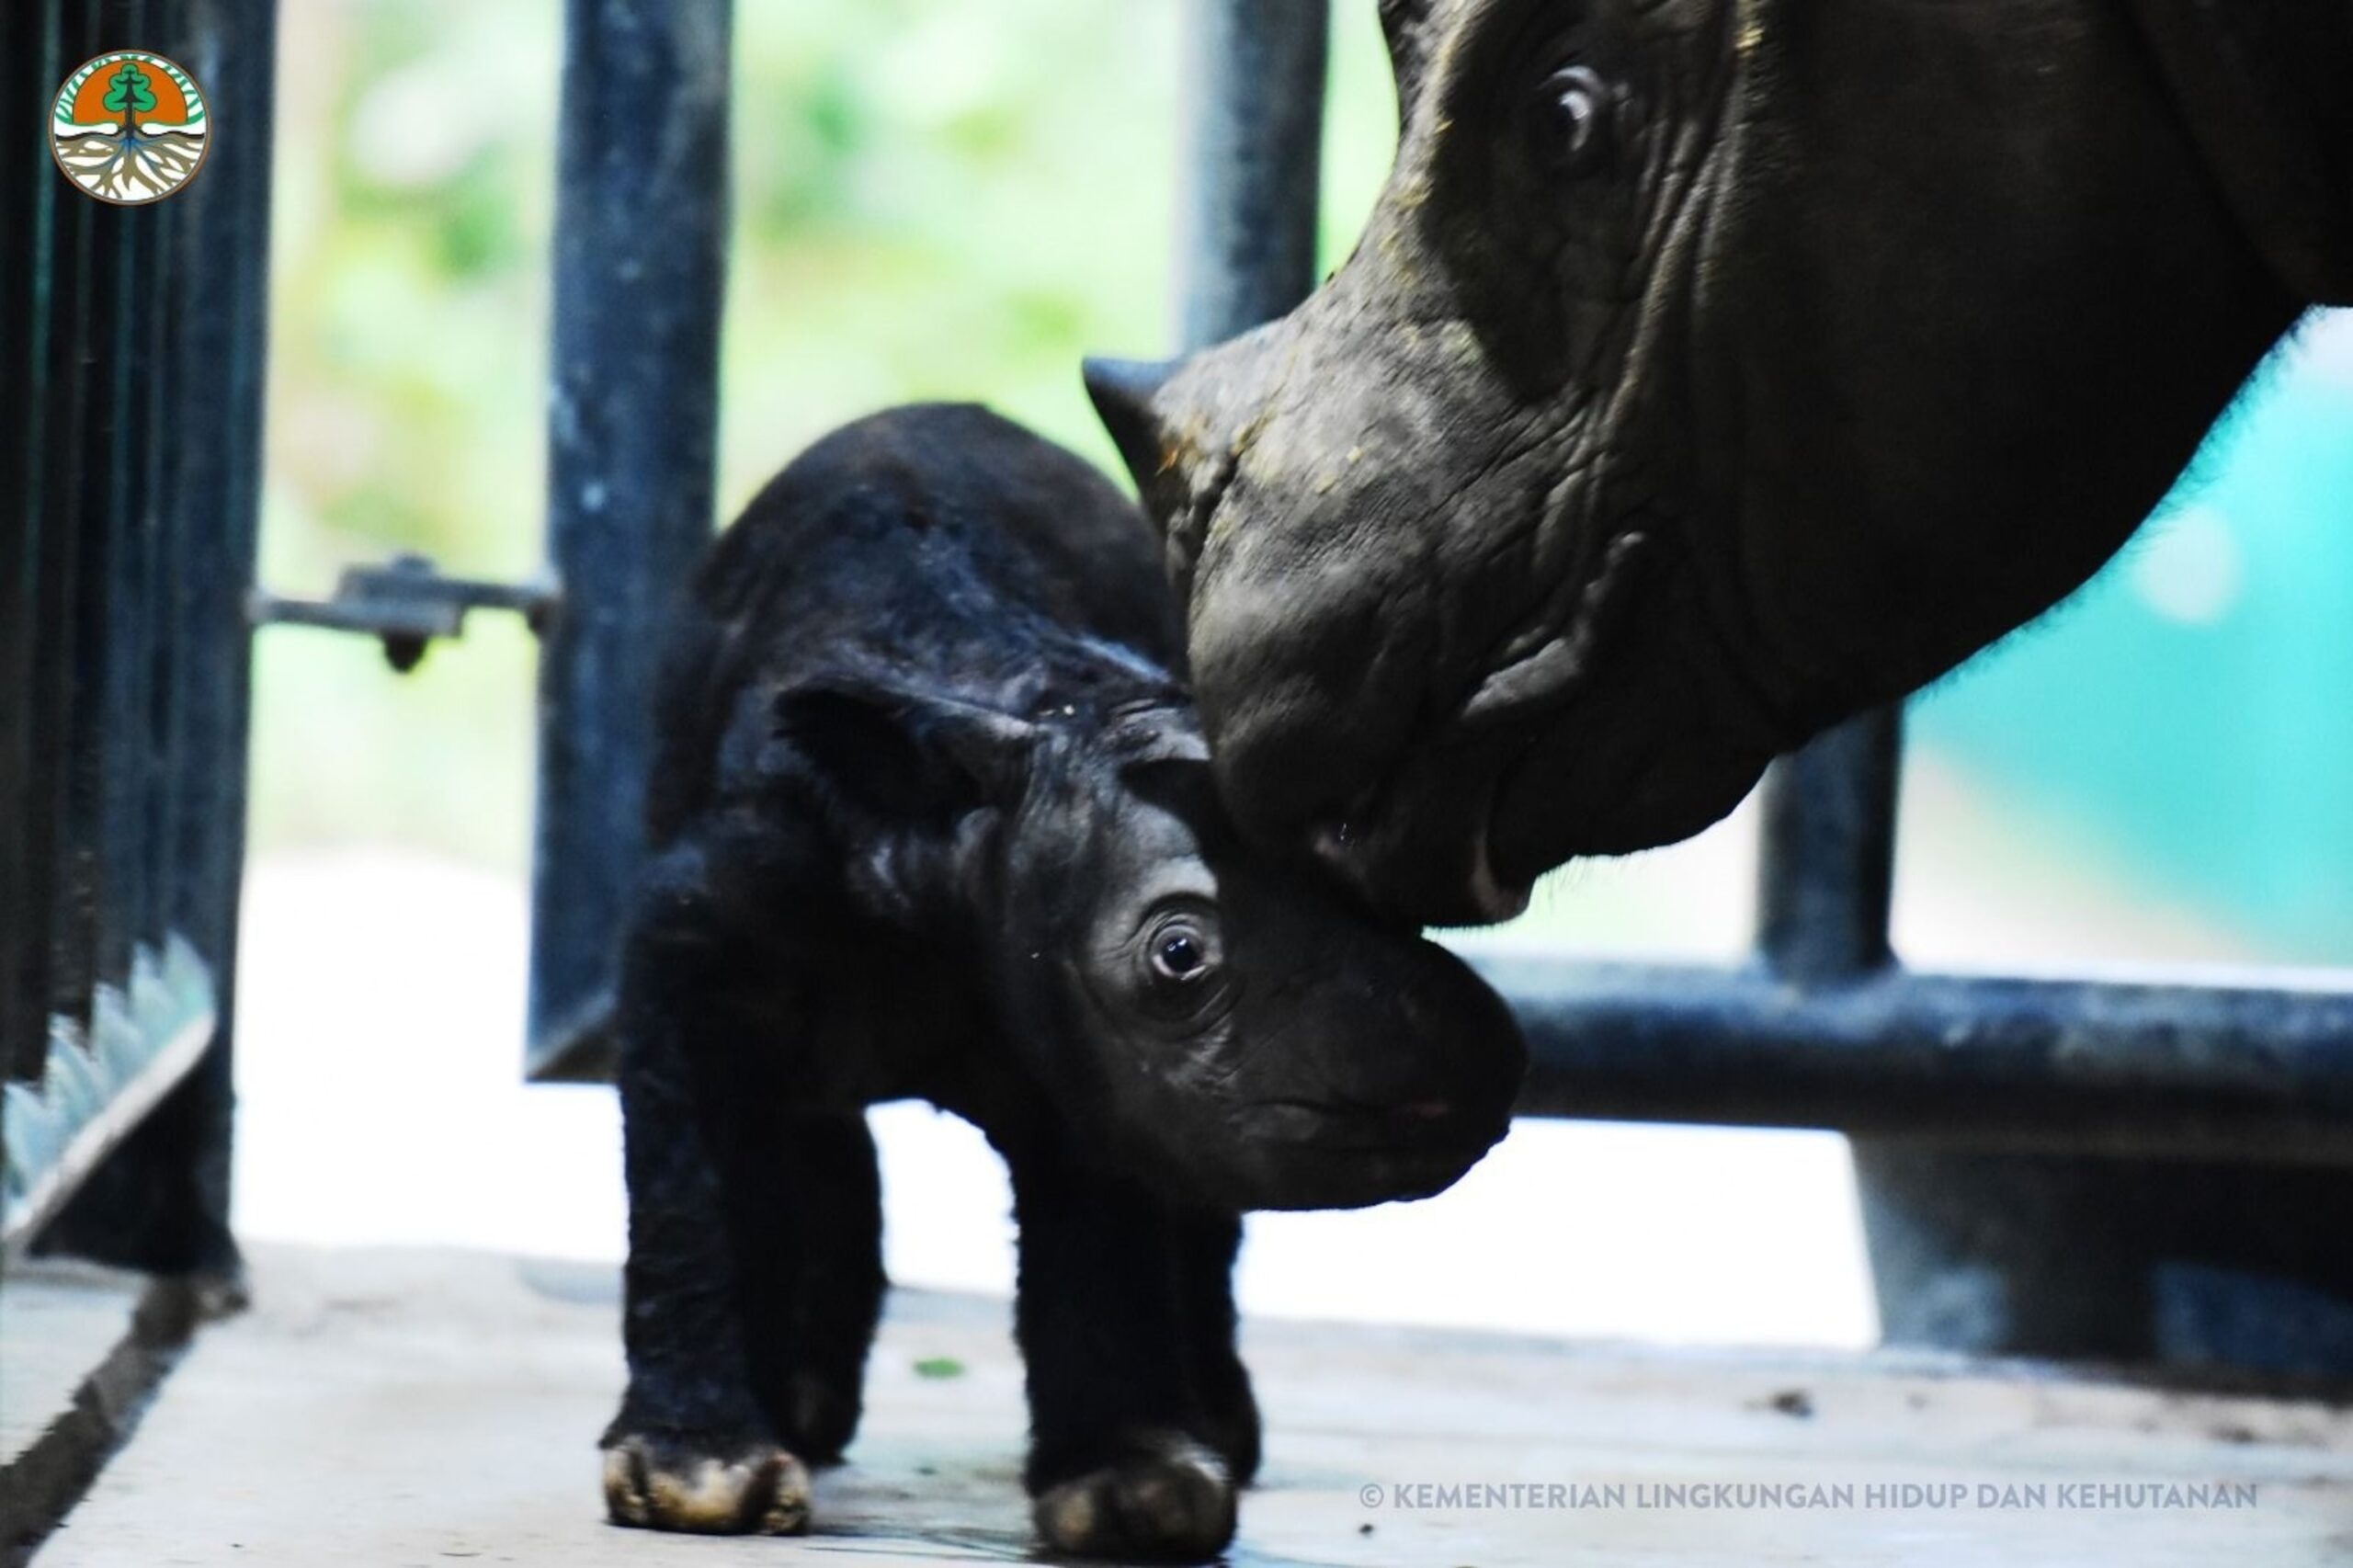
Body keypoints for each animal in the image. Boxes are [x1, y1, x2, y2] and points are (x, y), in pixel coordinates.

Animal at [607, 403, 1524, 1553]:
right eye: (1178, 954)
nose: (1481, 1061)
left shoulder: (1089, 1048)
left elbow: (1108, 1198)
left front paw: (1135, 1493)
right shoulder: (697, 930)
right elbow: (687, 1167)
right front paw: (698, 1472)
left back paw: (1216, 1427)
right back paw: (804, 1410)